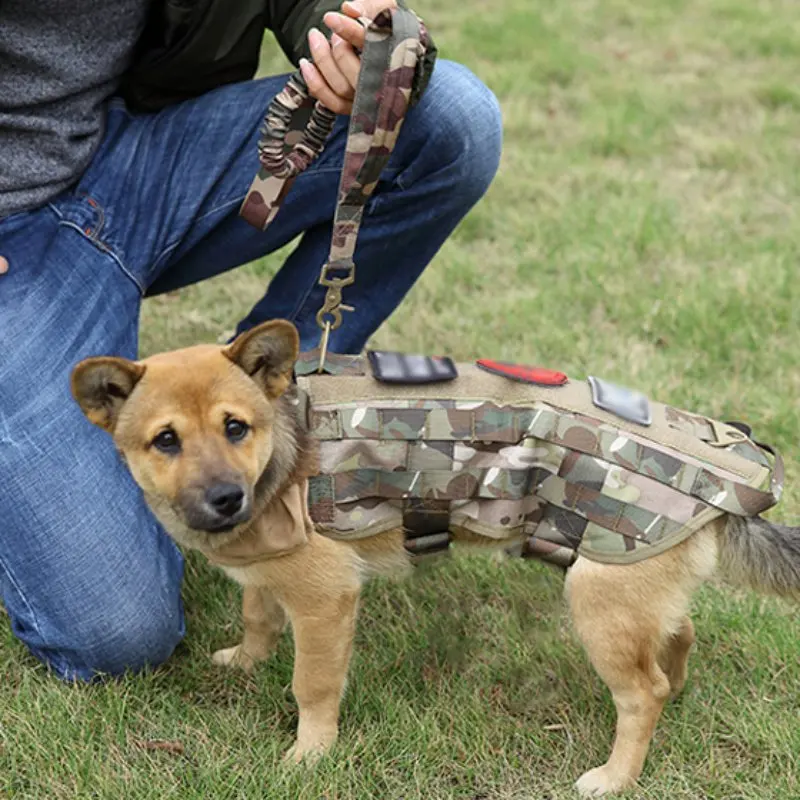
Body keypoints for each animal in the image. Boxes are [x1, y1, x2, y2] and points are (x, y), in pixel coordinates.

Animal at [70, 322, 800, 796]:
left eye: (234, 427)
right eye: (165, 440)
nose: (226, 499)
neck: (285, 449)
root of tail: (734, 493)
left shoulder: (326, 600)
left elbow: (312, 685)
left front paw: (310, 755)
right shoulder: (268, 573)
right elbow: (256, 614)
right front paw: (246, 661)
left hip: (601, 609)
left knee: (641, 694)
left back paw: (615, 777)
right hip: (632, 591)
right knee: (679, 640)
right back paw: (675, 693)